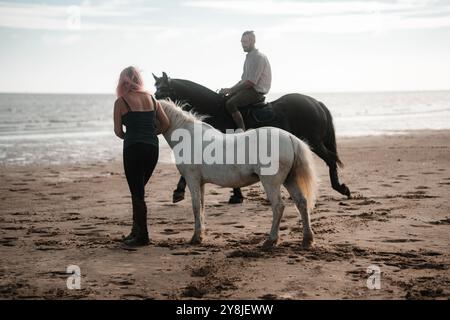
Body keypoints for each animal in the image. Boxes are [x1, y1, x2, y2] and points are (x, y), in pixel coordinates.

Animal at [153, 72, 350, 202]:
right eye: (155, 91)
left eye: (163, 91)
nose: (154, 103)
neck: (216, 110)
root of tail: (316, 102)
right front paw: (237, 195)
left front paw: (179, 191)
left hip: (315, 142)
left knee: (331, 160)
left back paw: (341, 188)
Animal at [160, 99, 318, 248]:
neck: (189, 137)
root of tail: (290, 138)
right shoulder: (200, 182)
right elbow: (202, 206)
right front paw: (201, 235)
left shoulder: (192, 179)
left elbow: (196, 206)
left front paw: (196, 237)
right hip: (290, 180)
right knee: (302, 203)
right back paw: (307, 239)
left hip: (270, 182)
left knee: (278, 206)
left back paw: (271, 240)